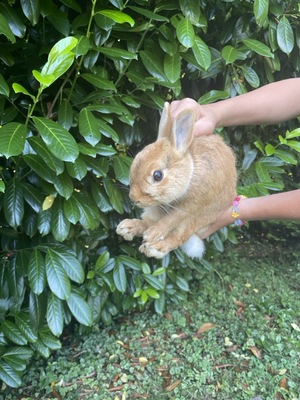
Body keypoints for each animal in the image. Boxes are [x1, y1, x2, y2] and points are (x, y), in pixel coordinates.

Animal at [116, 103, 237, 260]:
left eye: (157, 175)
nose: (134, 198)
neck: (191, 172)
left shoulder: (191, 206)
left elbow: (171, 219)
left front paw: (153, 234)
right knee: (147, 221)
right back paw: (127, 227)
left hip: (198, 220)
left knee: (177, 237)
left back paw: (153, 247)